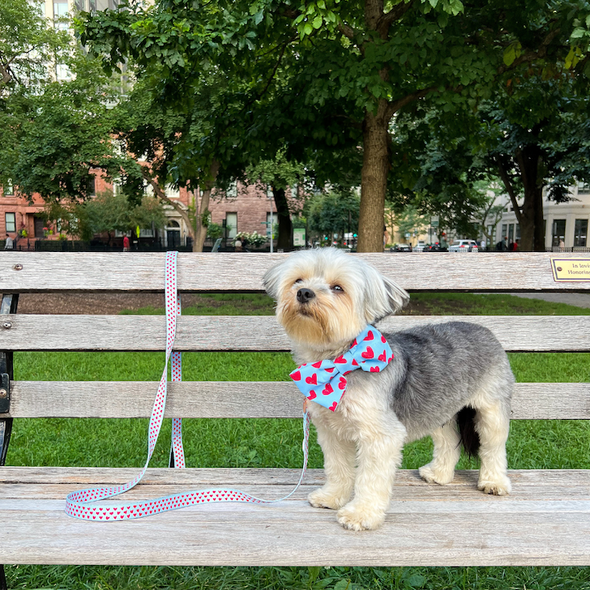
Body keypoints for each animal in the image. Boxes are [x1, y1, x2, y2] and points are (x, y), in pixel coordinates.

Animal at [266, 247, 516, 536]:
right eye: (298, 280)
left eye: (338, 287)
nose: (304, 292)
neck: (337, 363)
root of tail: (484, 329)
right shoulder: (331, 431)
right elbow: (338, 468)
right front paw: (333, 496)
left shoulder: (380, 436)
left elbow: (371, 478)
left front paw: (361, 514)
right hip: (439, 407)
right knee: (448, 441)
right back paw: (439, 474)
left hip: (491, 409)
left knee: (493, 446)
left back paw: (494, 481)